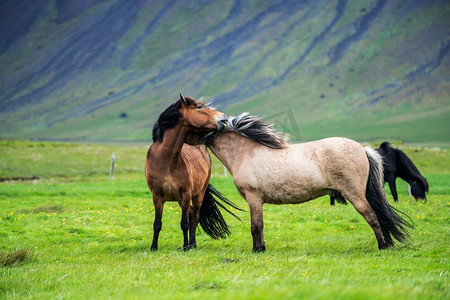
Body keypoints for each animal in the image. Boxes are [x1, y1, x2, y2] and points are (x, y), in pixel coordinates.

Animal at [146, 95, 241, 250]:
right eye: (199, 107)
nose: (224, 119)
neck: (166, 161)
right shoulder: (157, 197)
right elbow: (157, 224)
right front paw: (154, 247)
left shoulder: (185, 195)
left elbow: (184, 223)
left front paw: (185, 246)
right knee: (191, 216)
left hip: (198, 195)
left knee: (194, 217)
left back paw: (192, 244)